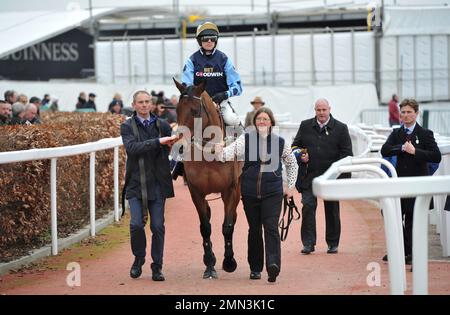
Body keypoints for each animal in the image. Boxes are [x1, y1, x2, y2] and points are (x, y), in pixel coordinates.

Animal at [172, 78, 243, 278]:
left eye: (195, 110)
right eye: (177, 109)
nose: (180, 144)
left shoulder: (230, 190)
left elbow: (227, 226)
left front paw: (229, 262)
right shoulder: (196, 191)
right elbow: (205, 227)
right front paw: (210, 265)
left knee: (233, 217)